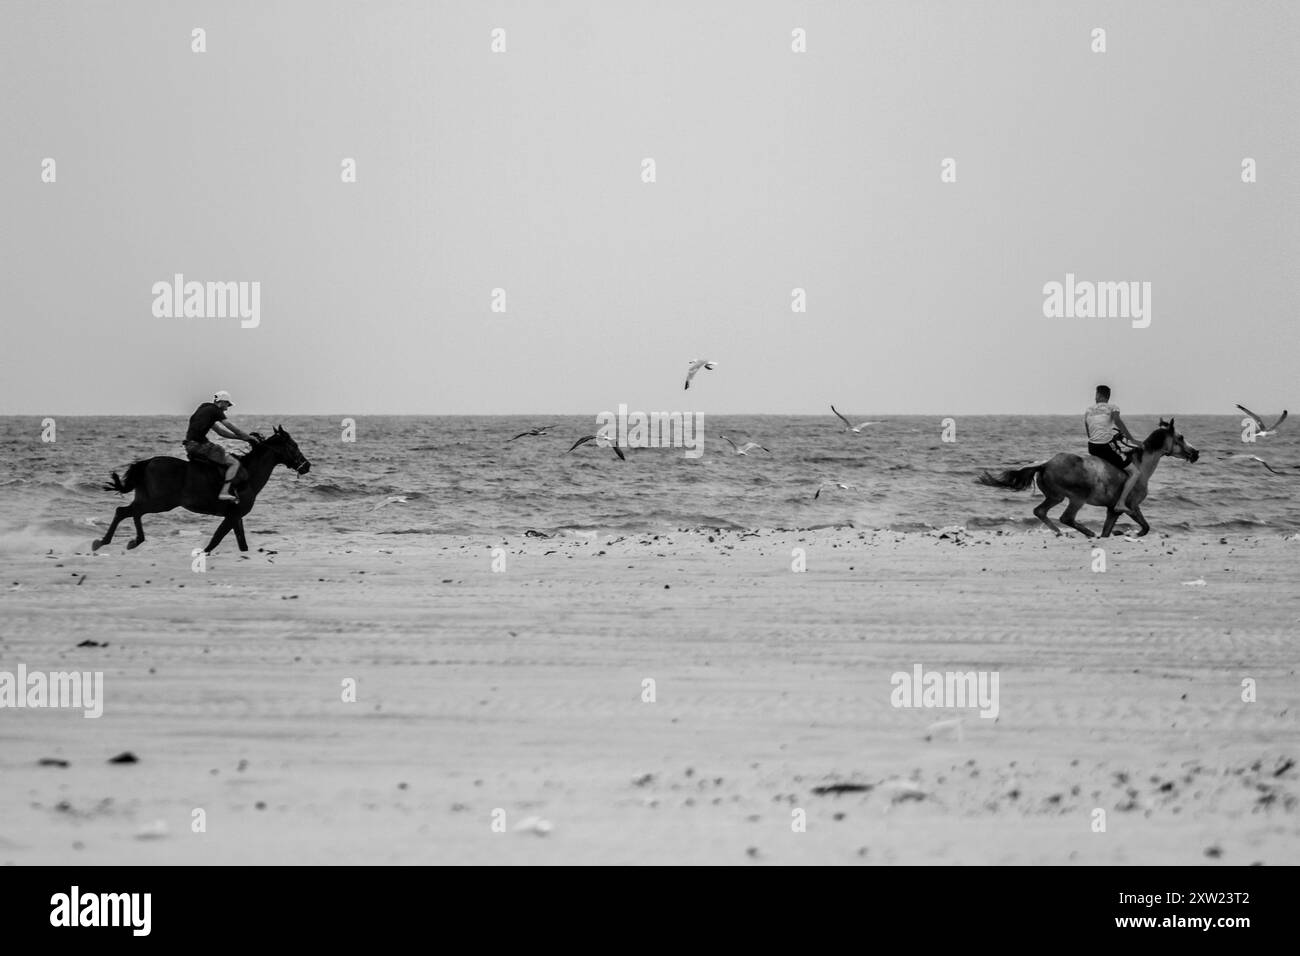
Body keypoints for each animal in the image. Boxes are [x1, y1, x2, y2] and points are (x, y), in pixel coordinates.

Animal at [92, 426, 310, 554]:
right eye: (293, 445)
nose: (307, 466)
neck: (249, 474)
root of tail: (148, 462)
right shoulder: (233, 515)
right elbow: (216, 540)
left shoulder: (236, 516)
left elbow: (241, 543)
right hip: (159, 503)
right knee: (131, 512)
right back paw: (127, 540)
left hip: (149, 500)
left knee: (127, 512)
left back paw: (115, 541)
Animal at [977, 418, 1196, 538]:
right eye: (1181, 437)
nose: (1196, 453)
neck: (1142, 467)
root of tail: (1045, 463)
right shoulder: (1131, 506)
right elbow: (1145, 527)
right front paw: (1126, 533)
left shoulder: (1112, 510)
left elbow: (1110, 531)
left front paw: (1114, 533)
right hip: (1076, 498)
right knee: (1066, 517)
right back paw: (1086, 532)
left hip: (1055, 496)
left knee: (1040, 511)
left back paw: (1060, 533)